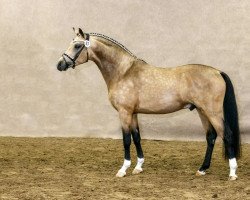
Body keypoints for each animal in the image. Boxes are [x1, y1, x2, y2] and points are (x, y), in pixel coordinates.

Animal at [56, 27, 240, 180]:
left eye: (77, 45)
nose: (60, 64)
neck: (123, 72)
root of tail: (217, 72)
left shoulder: (124, 112)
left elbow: (126, 139)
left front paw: (123, 169)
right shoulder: (133, 113)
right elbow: (137, 137)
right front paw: (138, 167)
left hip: (213, 112)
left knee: (227, 135)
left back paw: (232, 173)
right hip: (202, 111)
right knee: (211, 137)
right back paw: (202, 169)